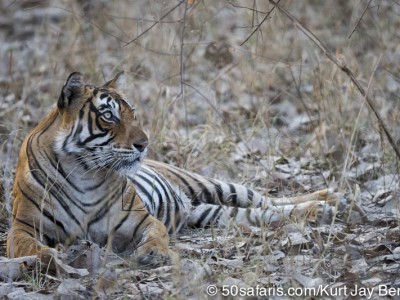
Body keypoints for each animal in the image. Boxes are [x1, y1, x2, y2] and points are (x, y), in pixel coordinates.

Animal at [7, 71, 348, 268]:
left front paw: (153, 255)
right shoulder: (22, 226)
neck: (84, 172)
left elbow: (156, 236)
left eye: (132, 113)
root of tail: (189, 205)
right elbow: (27, 246)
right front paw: (47, 258)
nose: (145, 143)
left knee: (269, 199)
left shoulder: (142, 219)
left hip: (214, 185)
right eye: (109, 116)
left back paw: (329, 199)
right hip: (214, 212)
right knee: (266, 213)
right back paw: (323, 207)